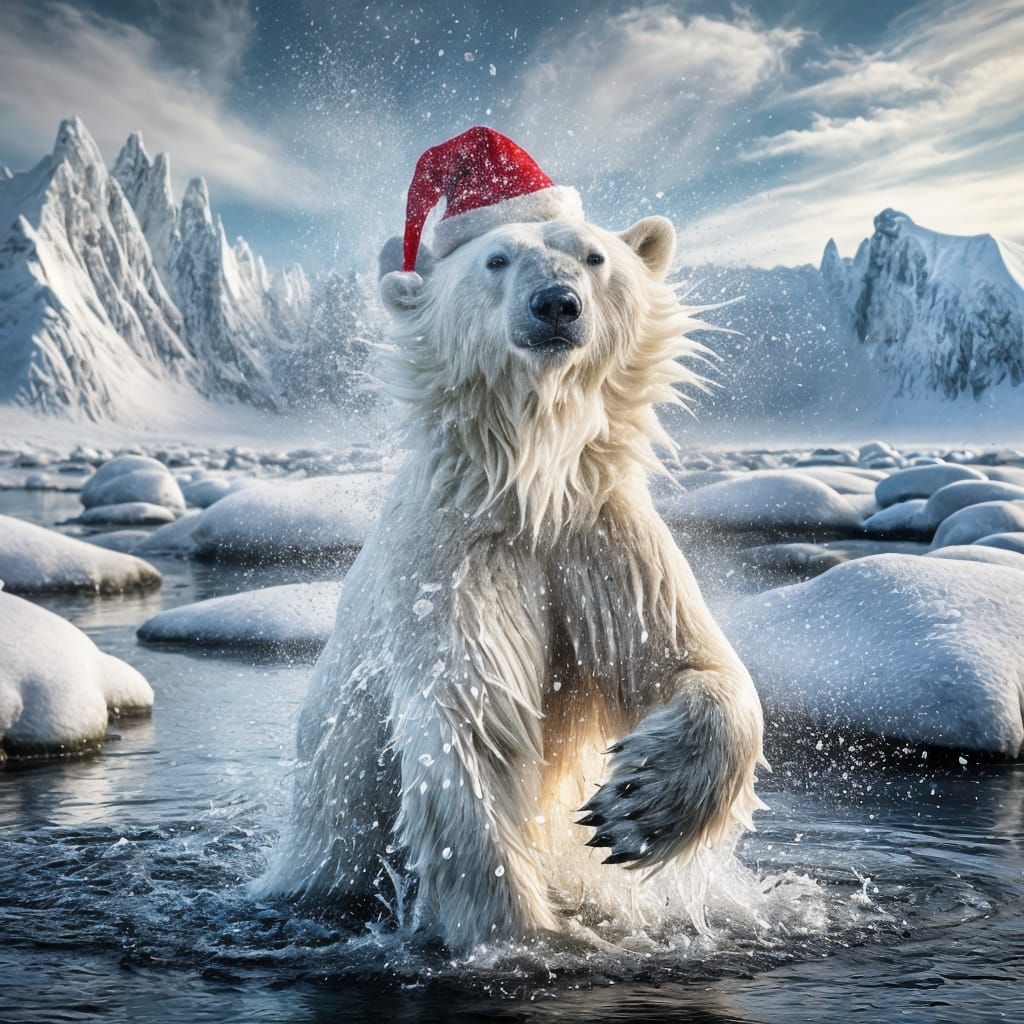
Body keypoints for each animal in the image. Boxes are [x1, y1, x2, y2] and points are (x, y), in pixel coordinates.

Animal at [258, 212, 767, 950]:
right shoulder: (455, 561)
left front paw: (635, 807)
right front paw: (528, 938)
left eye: (595, 256)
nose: (557, 304)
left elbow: (690, 661)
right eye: (496, 259)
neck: (530, 483)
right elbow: (472, 722)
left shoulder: (602, 542)